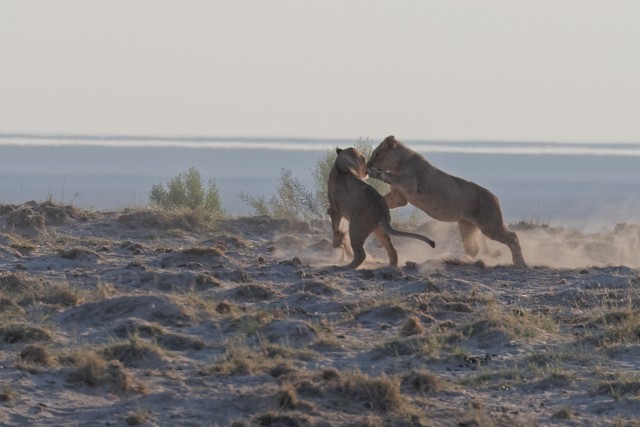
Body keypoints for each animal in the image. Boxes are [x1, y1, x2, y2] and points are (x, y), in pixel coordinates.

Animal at [367, 136, 527, 268]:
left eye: (376, 154)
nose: (367, 165)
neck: (399, 162)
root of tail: (495, 197)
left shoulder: (409, 183)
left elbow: (391, 176)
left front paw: (375, 172)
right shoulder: (399, 197)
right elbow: (386, 199)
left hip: (490, 225)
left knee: (513, 237)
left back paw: (520, 263)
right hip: (466, 225)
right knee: (473, 249)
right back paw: (457, 260)